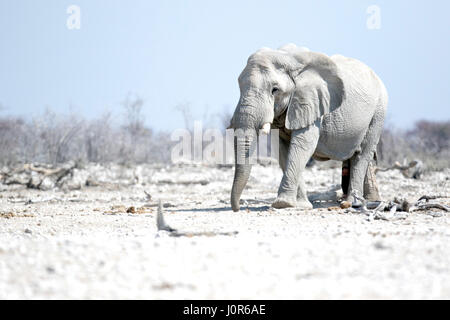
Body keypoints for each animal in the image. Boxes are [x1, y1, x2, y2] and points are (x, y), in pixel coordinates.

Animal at [230, 43, 388, 211]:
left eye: (275, 90)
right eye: (239, 87)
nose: (237, 207)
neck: (287, 58)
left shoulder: (312, 102)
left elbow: (302, 146)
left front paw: (282, 204)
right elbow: (282, 150)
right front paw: (301, 205)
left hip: (378, 112)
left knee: (362, 154)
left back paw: (353, 203)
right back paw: (370, 201)